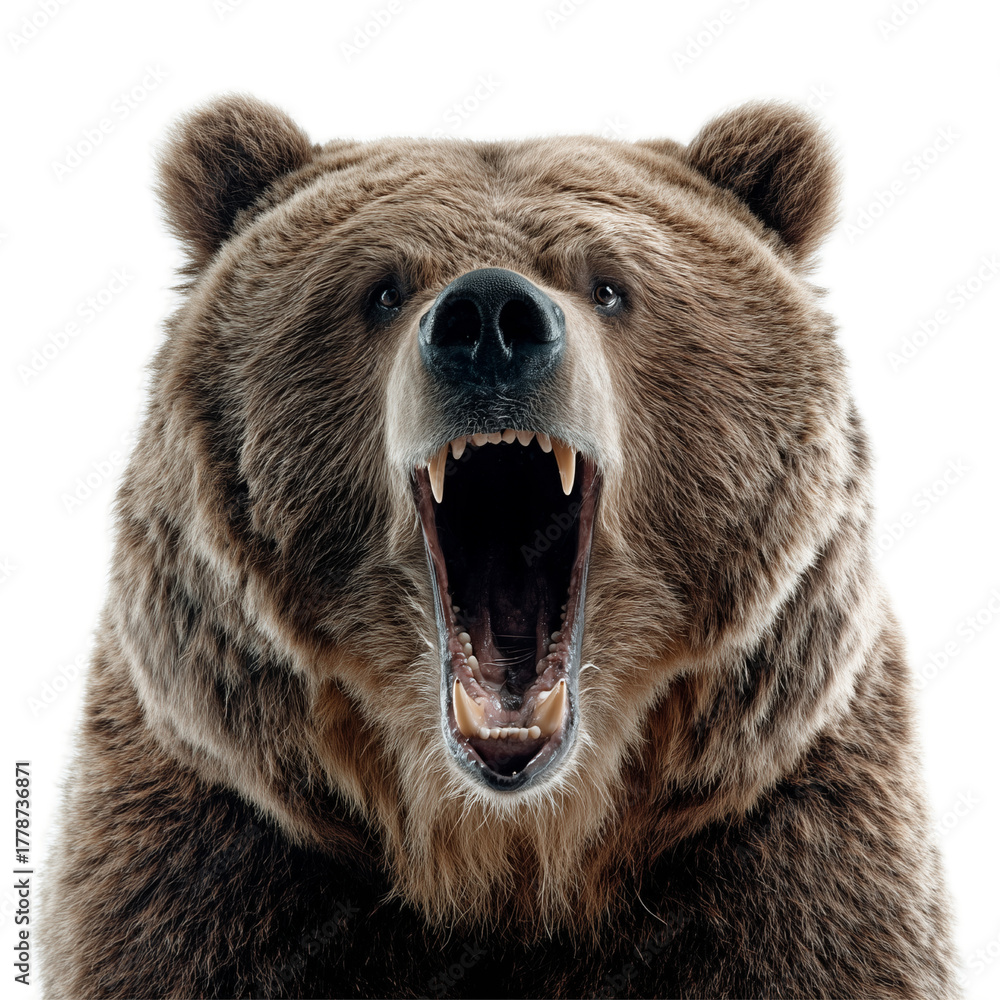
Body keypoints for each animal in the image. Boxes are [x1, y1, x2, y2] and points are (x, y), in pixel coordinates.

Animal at [39, 94, 959, 999]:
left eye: (608, 285)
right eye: (383, 289)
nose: (489, 319)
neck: (506, 852)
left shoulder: (784, 849)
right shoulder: (215, 852)